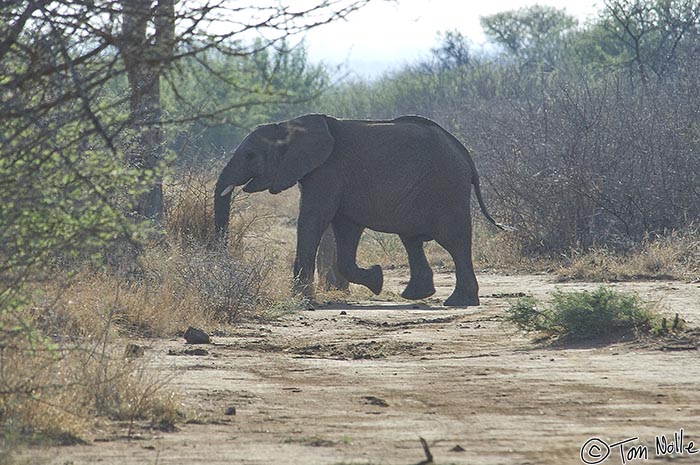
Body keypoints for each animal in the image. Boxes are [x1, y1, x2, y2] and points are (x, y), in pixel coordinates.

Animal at [215, 113, 504, 306]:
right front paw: (377, 280)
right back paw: (417, 295)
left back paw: (458, 301)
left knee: (455, 241)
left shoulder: (327, 171)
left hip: (446, 187)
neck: (287, 126)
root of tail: (465, 155)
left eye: (250, 155)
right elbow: (345, 230)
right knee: (412, 240)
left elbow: (313, 220)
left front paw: (302, 298)